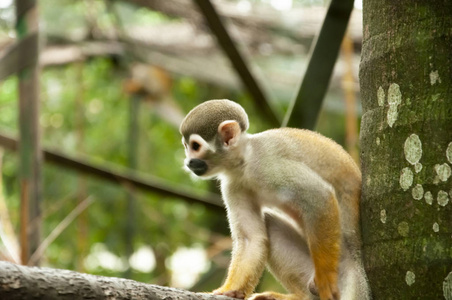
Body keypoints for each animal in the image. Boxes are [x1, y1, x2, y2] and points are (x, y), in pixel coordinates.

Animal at [179, 99, 370, 298]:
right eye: (186, 147)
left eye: (195, 146)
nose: (189, 162)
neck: (245, 162)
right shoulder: (233, 185)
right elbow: (251, 239)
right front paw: (230, 290)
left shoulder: (269, 165)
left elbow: (320, 197)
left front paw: (325, 278)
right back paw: (301, 297)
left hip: (351, 279)